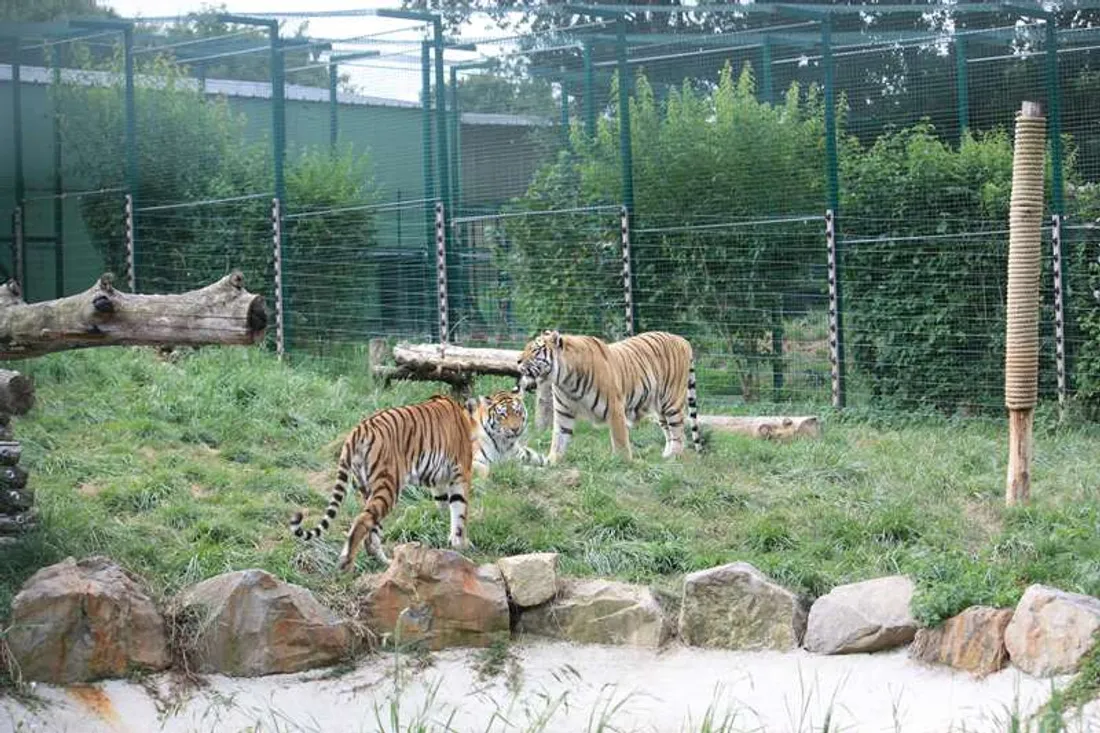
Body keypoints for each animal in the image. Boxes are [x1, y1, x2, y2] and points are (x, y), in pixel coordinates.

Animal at [292, 387, 545, 572]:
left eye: (518, 412)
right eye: (502, 415)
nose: (515, 429)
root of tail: (358, 430)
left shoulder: (440, 480)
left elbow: (446, 507)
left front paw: (446, 537)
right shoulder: (462, 473)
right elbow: (460, 511)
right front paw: (461, 543)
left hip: (368, 488)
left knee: (372, 528)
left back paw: (384, 562)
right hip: (388, 484)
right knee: (363, 522)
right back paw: (347, 563)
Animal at [517, 327, 704, 460]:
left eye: (534, 350)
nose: (518, 361)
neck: (565, 380)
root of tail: (682, 339)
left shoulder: (615, 408)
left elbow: (620, 440)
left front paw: (623, 463)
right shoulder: (564, 412)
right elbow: (559, 439)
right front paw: (552, 461)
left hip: (672, 401)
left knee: (679, 432)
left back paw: (675, 456)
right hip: (660, 408)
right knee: (669, 431)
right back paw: (666, 456)